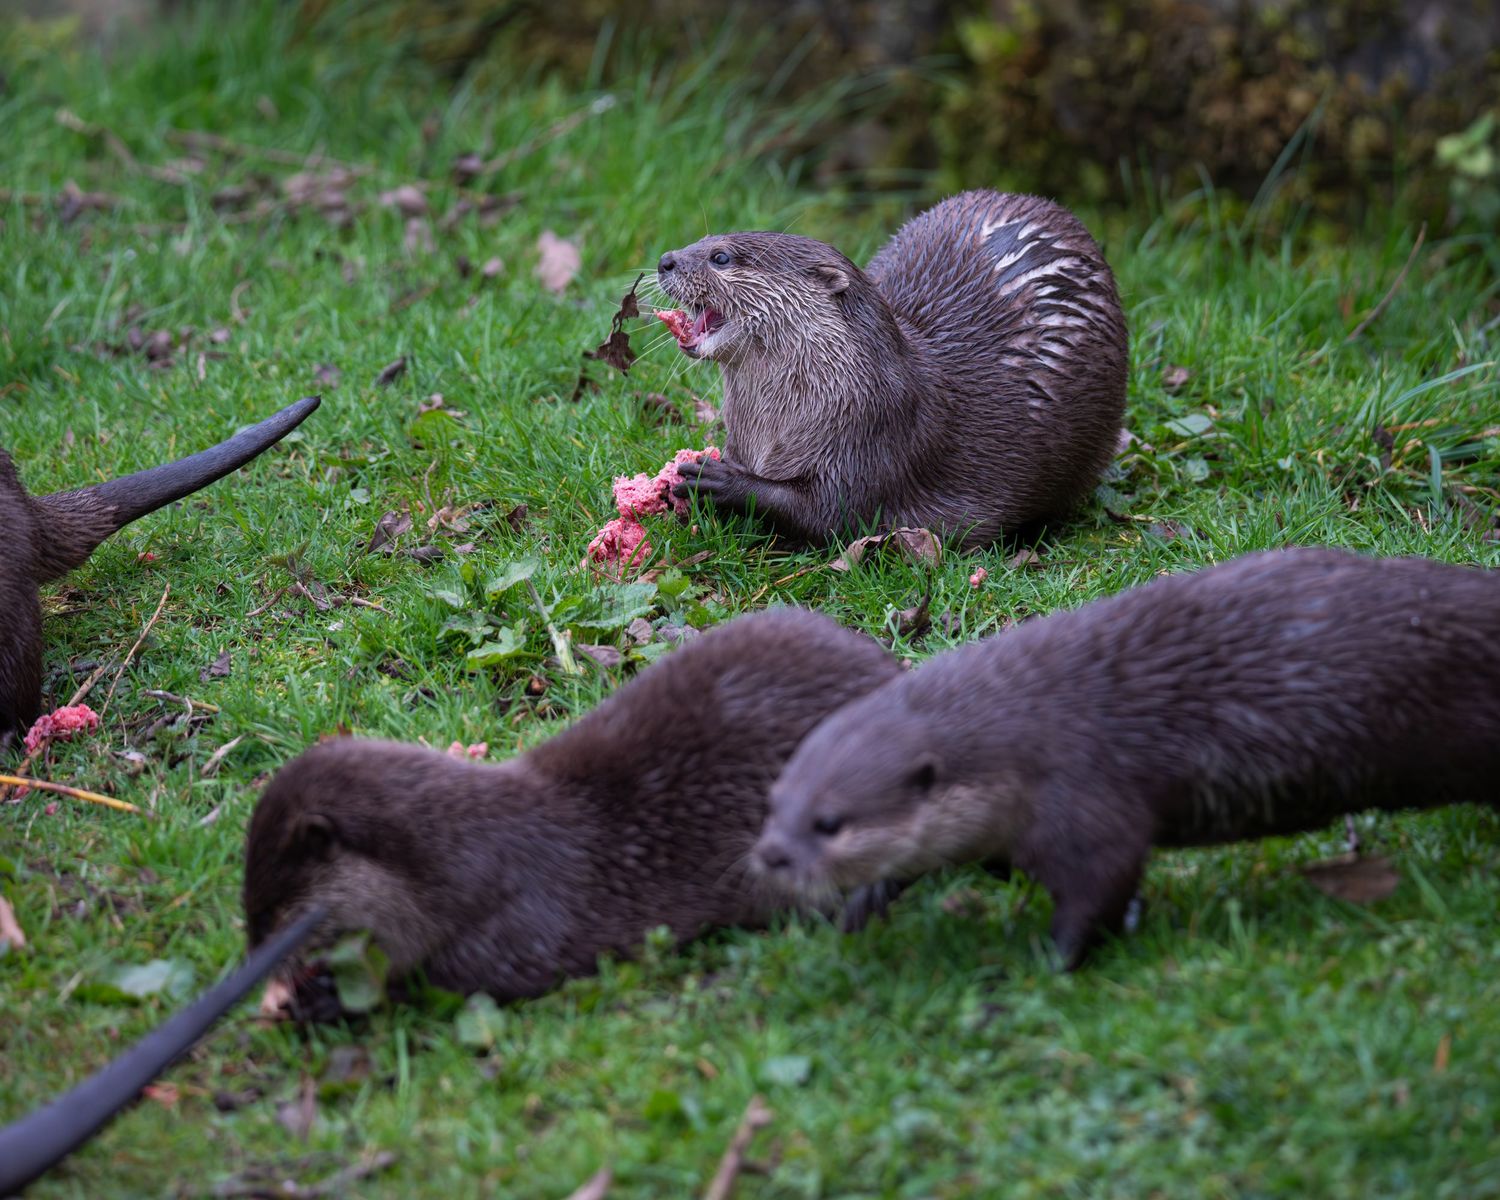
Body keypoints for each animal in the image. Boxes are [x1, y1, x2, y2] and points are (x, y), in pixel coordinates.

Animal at [243, 607, 901, 1008]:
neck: (466, 861)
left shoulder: (515, 933)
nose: (254, 961)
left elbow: (445, 986)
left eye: (271, 912)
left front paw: (325, 997)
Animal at [653, 190, 1127, 547]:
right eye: (703, 240)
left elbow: (829, 513)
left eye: (721, 257)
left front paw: (719, 480)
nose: (665, 259)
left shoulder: (873, 435)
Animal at [753, 548, 1500, 967]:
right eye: (774, 802)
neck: (1015, 744)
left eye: (829, 822)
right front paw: (863, 905)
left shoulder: (1083, 799)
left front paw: (1044, 962)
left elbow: (1101, 886)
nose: (770, 856)